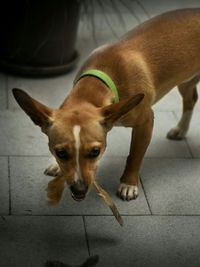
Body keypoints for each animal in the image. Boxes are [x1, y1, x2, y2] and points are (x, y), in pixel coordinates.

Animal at [12, 9, 200, 203]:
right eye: (61, 153)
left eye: (95, 151)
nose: (79, 190)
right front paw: (56, 165)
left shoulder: (146, 122)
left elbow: (135, 155)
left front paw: (128, 183)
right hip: (186, 81)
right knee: (191, 99)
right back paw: (181, 129)